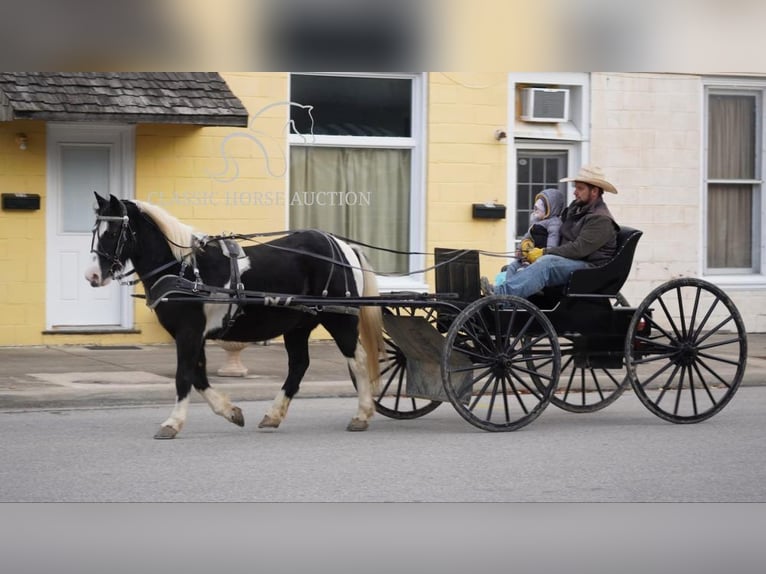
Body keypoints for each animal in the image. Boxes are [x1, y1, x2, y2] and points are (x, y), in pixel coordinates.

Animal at [85, 195, 384, 440]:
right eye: (95, 231)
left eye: (113, 232)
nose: (92, 276)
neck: (184, 270)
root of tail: (343, 246)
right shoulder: (195, 334)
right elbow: (198, 376)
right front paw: (231, 412)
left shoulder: (189, 332)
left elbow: (184, 375)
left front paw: (172, 423)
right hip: (298, 325)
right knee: (299, 364)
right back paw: (273, 414)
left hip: (340, 320)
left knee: (358, 360)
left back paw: (362, 414)